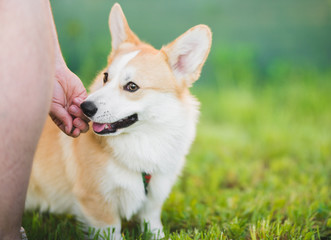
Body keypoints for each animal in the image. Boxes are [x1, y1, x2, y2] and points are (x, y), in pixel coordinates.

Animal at [26, 2, 213, 239]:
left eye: (132, 86)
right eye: (106, 77)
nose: (85, 107)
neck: (143, 141)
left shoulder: (152, 204)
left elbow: (154, 227)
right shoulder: (98, 206)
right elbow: (113, 233)